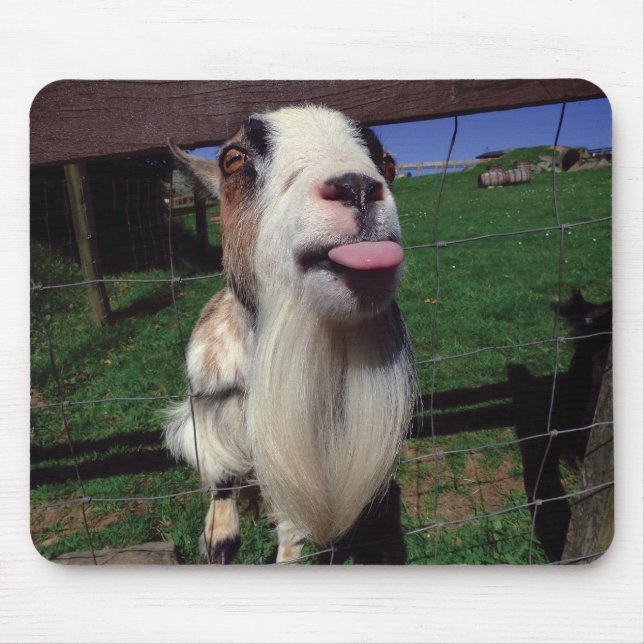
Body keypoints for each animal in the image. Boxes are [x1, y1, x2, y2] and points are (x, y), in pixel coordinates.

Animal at [164, 105, 416, 564]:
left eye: (388, 163)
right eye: (233, 159)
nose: (356, 187)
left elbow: (293, 530)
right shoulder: (207, 407)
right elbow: (220, 471)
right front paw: (217, 540)